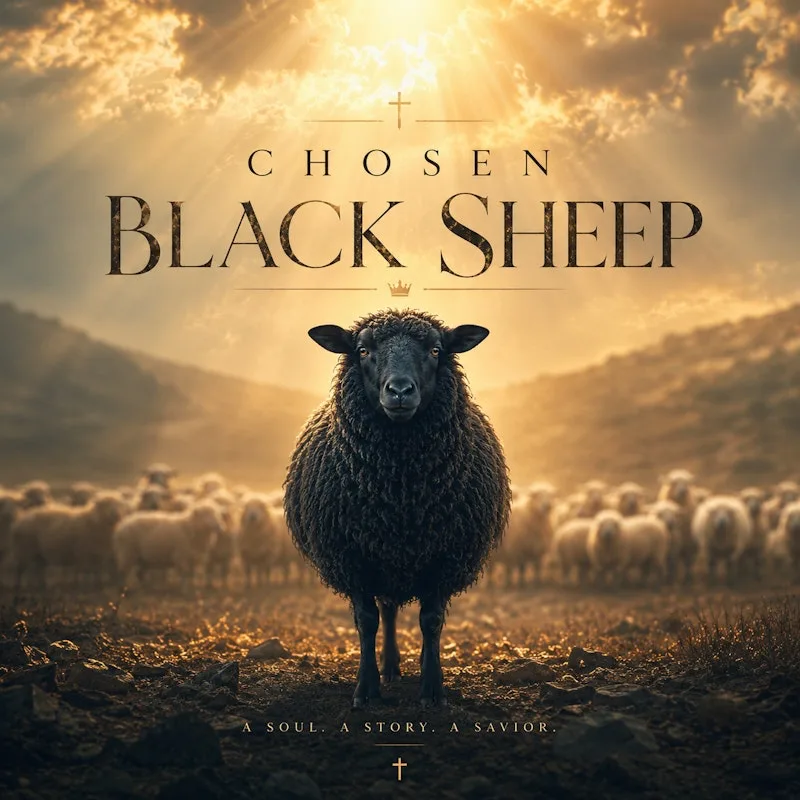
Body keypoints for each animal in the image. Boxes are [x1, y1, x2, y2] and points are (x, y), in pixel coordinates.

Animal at [284, 310, 510, 708]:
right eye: (362, 350)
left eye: (436, 350)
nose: (400, 391)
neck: (400, 495)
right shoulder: (353, 557)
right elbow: (366, 620)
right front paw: (366, 690)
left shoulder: (444, 557)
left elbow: (431, 621)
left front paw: (433, 689)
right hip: (383, 565)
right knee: (387, 611)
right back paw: (389, 667)